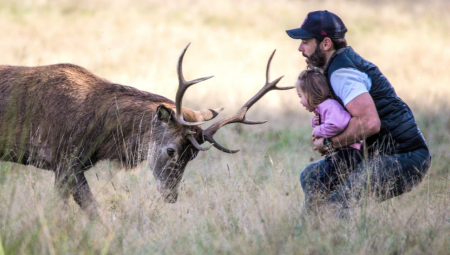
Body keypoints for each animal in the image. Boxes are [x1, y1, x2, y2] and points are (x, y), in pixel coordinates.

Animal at [0, 43, 292, 217]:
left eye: (193, 156)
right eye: (171, 150)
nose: (171, 197)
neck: (98, 137)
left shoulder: (67, 165)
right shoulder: (65, 159)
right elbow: (92, 210)